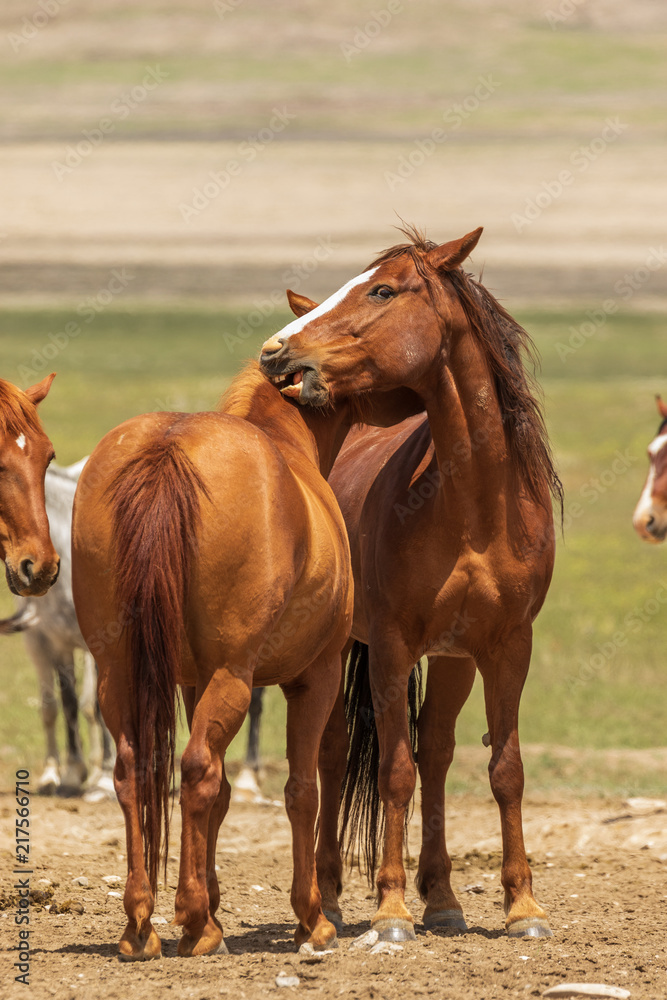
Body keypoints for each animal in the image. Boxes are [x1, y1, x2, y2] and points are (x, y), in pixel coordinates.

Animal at [72, 362, 418, 960]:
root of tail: (169, 446)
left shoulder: (191, 682)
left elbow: (225, 795)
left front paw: (212, 900)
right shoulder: (315, 678)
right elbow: (301, 791)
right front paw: (311, 918)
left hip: (120, 675)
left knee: (137, 772)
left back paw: (143, 924)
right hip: (233, 677)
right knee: (196, 770)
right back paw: (195, 922)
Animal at [260, 227, 564, 936]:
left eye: (382, 290)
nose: (276, 352)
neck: (476, 509)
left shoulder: (506, 647)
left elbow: (503, 769)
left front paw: (522, 906)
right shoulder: (393, 648)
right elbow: (393, 770)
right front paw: (391, 908)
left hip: (453, 660)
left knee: (437, 751)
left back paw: (445, 899)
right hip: (344, 646)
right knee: (336, 751)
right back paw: (333, 894)